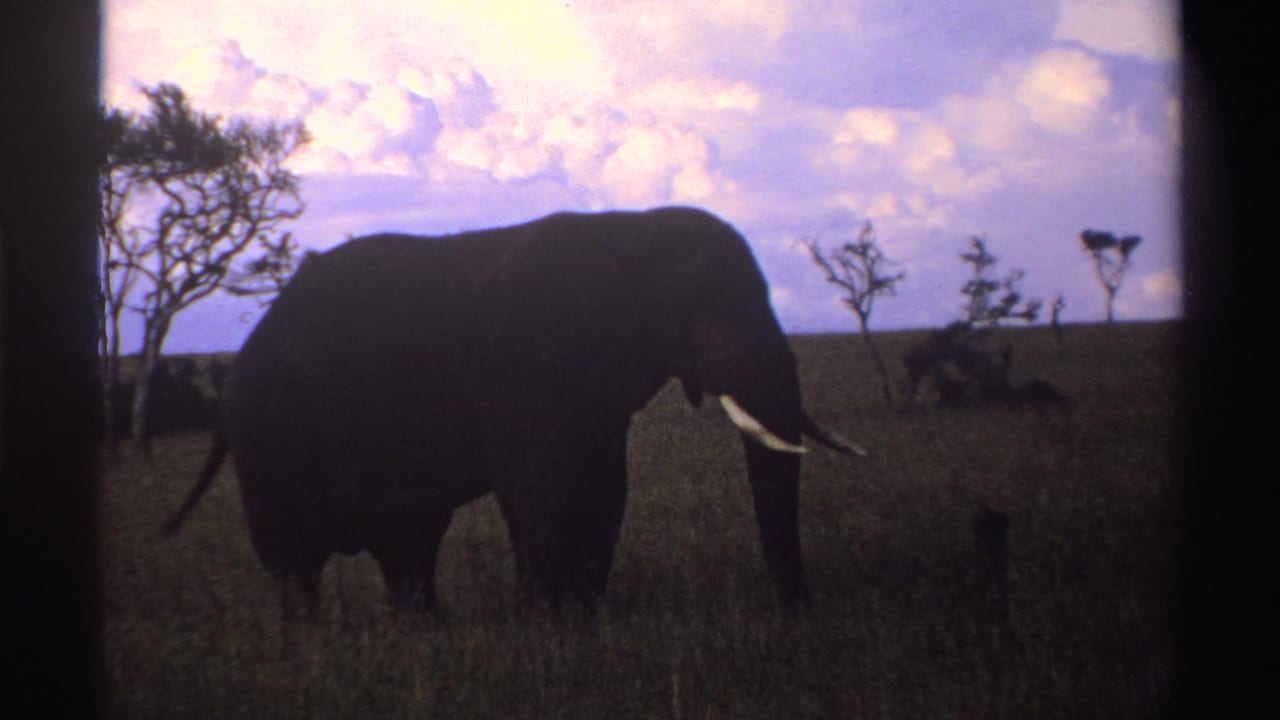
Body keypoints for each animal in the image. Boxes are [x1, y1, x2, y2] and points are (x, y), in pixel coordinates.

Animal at [163, 206, 863, 618]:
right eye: (709, 311)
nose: (801, 614)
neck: (630, 230)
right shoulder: (519, 359)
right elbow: (541, 485)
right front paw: (551, 625)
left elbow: (603, 485)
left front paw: (582, 616)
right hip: (273, 431)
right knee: (297, 557)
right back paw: (311, 647)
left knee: (408, 545)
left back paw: (425, 633)